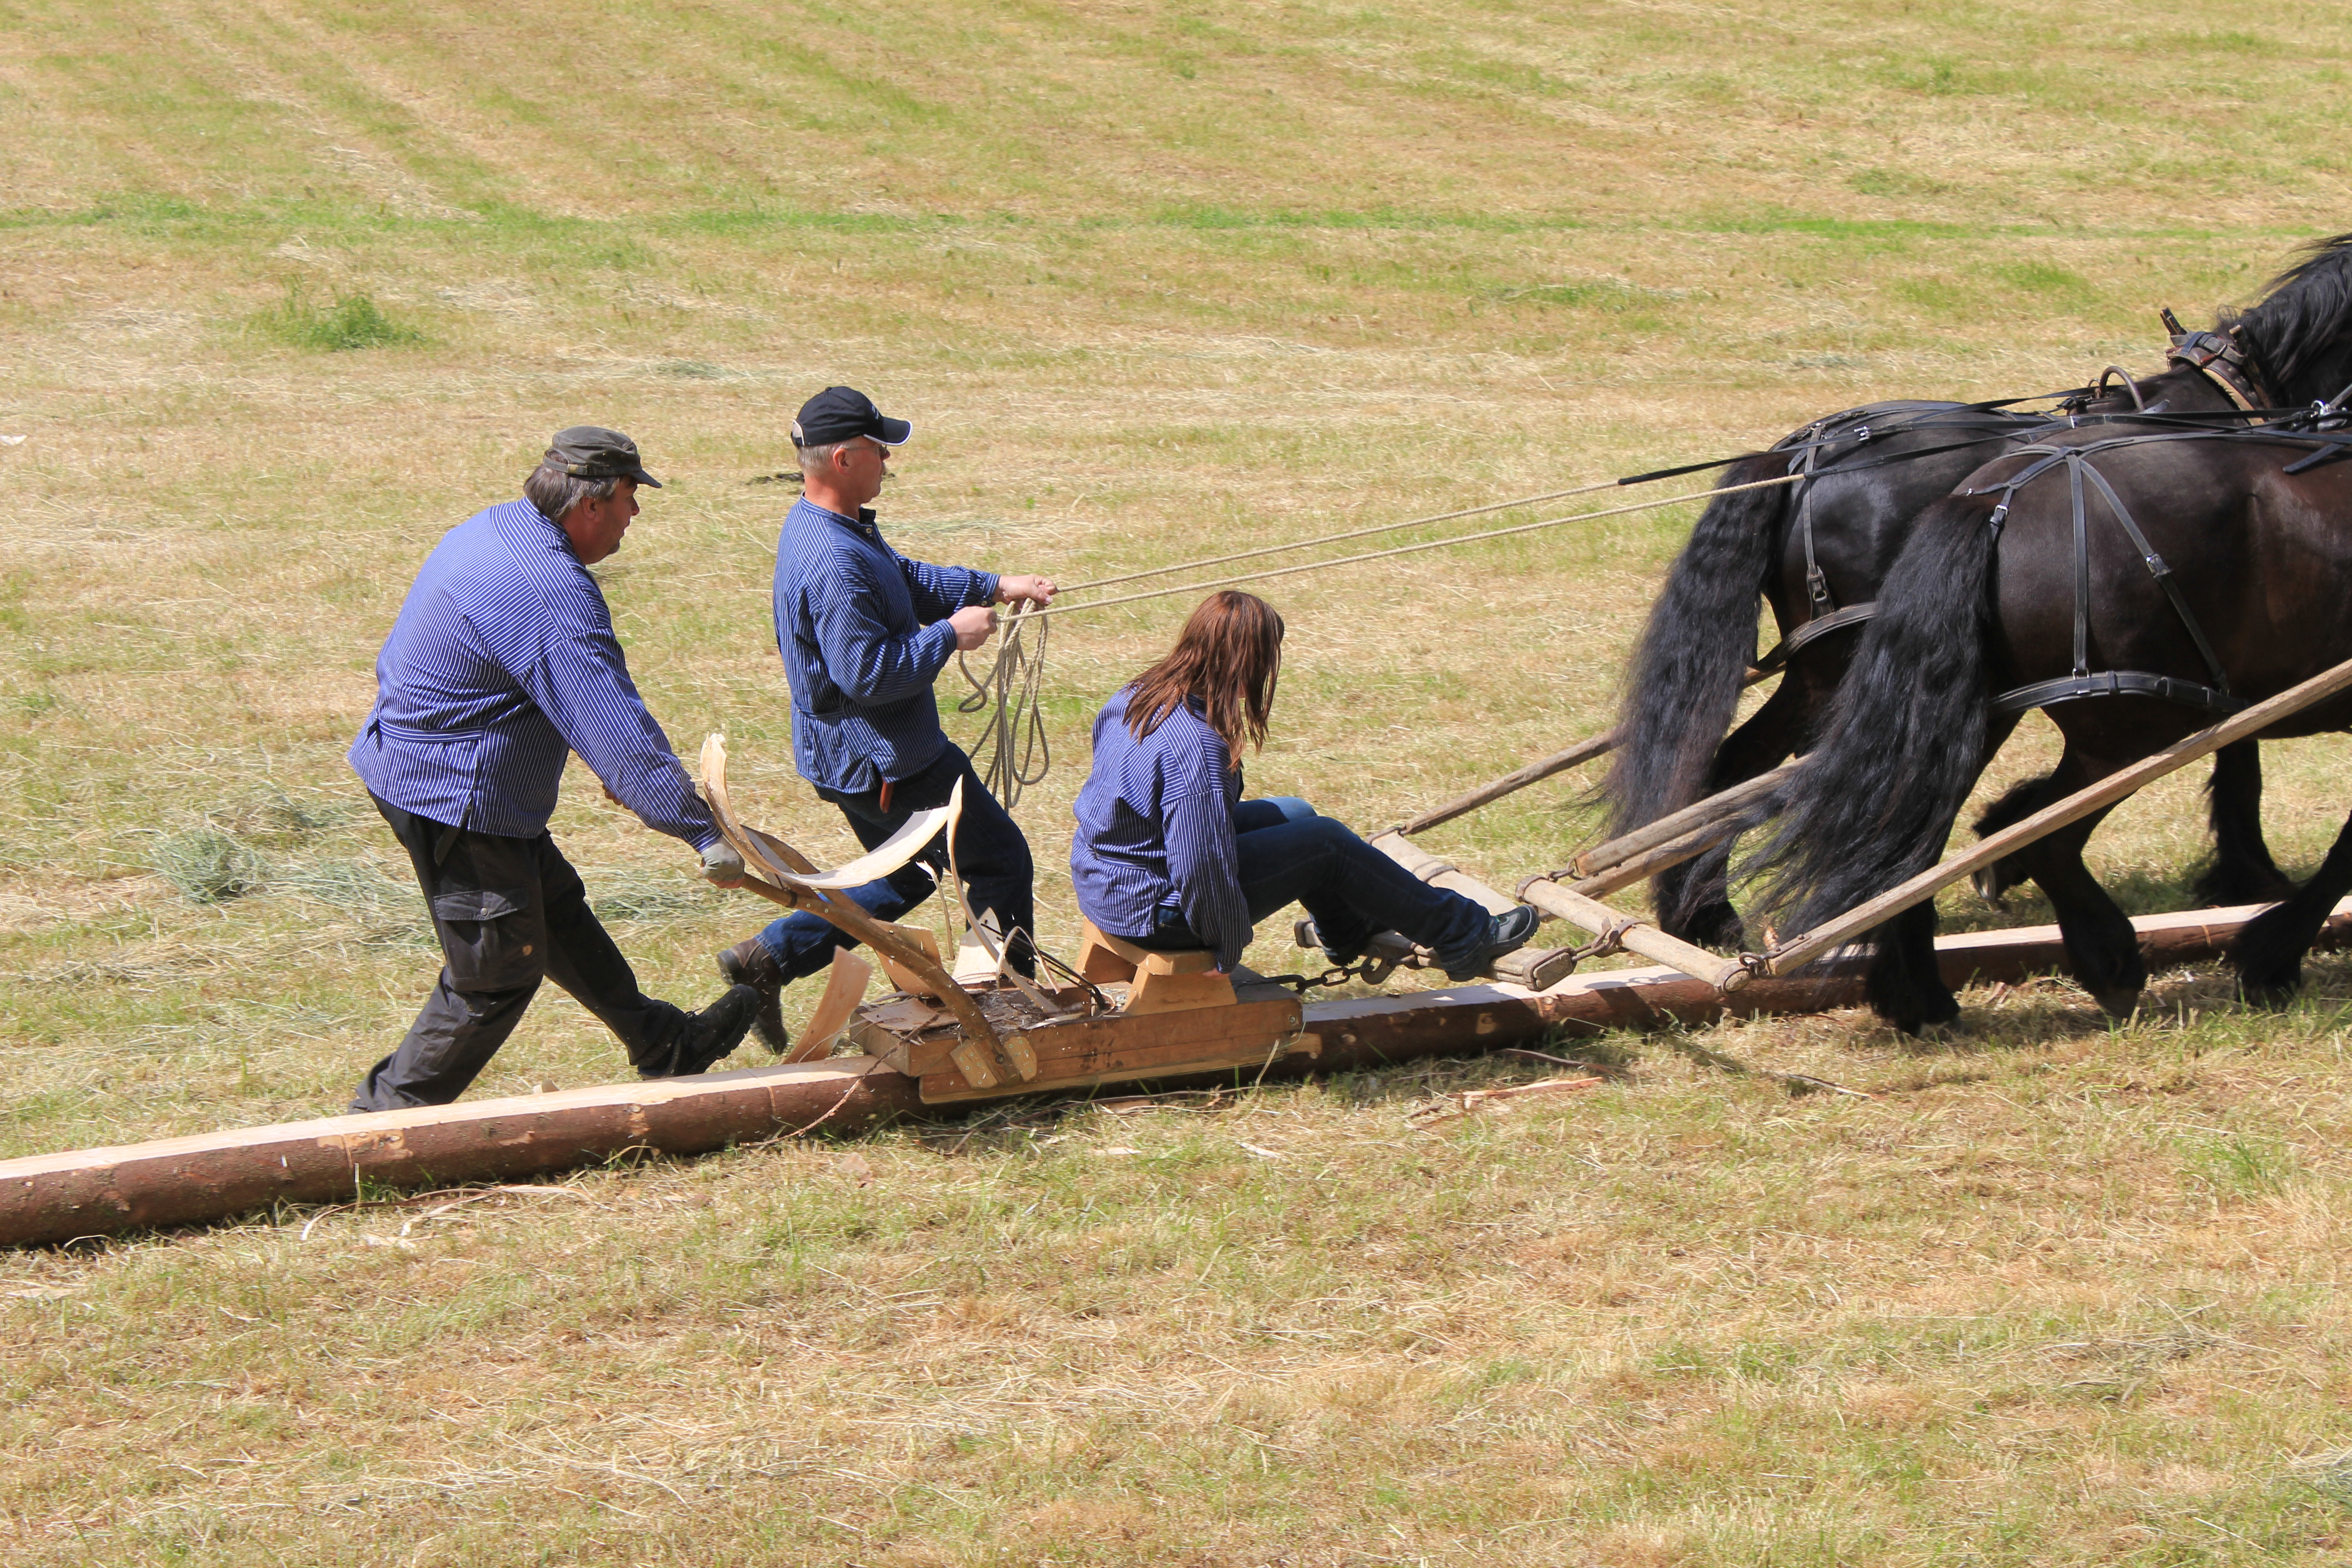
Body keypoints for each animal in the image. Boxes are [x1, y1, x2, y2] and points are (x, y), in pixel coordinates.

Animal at [1608, 364, 2286, 950]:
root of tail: (1798, 461)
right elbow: (2240, 744)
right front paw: (2250, 871)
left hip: (1820, 672)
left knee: (1742, 764)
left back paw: (1704, 914)